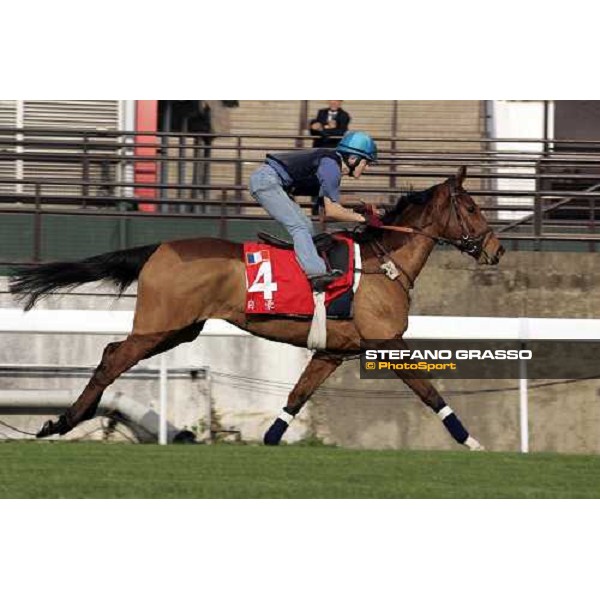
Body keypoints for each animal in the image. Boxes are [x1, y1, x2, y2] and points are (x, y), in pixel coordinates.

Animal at [11, 166, 504, 448]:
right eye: (472, 207)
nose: (496, 250)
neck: (384, 262)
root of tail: (159, 247)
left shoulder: (332, 351)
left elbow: (296, 396)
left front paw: (268, 441)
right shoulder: (385, 343)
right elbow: (431, 394)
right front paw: (474, 443)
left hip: (180, 329)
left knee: (113, 353)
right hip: (159, 326)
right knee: (112, 357)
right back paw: (63, 422)